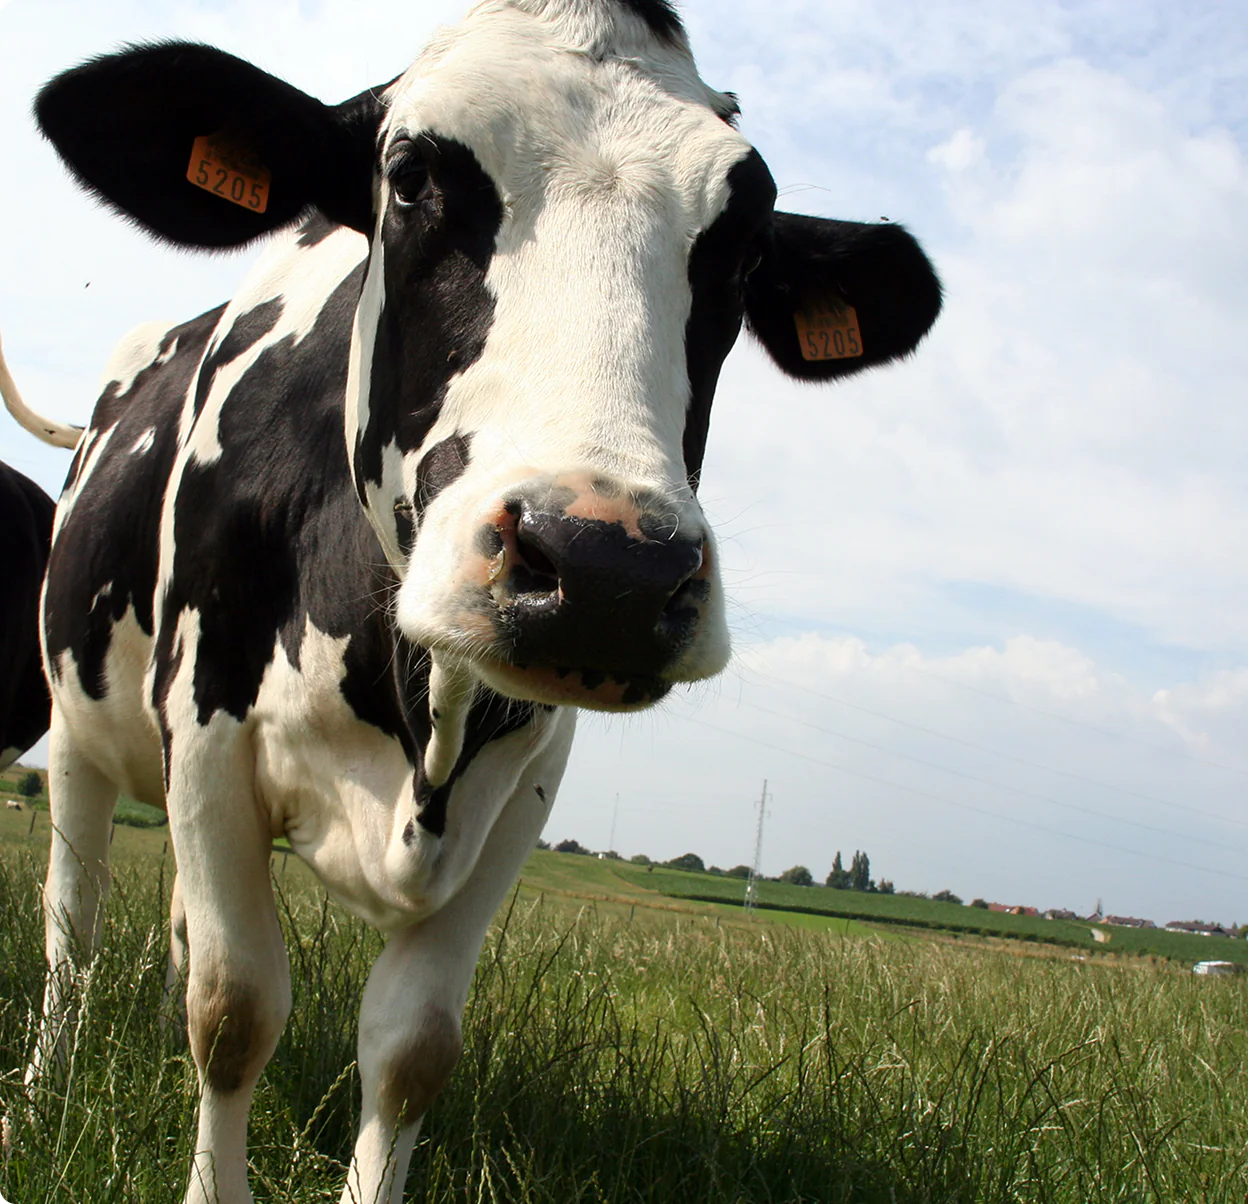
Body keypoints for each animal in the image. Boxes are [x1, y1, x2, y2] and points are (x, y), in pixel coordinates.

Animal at [6, 2, 940, 1201]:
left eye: (742, 246)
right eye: (408, 179)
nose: (607, 570)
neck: (415, 712)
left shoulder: (527, 782)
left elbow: (410, 1048)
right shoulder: (206, 727)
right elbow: (235, 1009)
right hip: (77, 728)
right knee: (70, 924)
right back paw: (46, 1090)